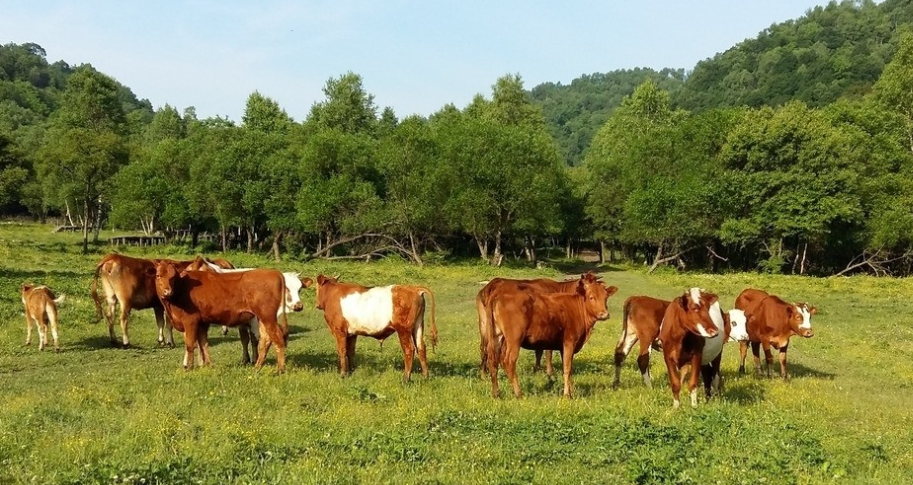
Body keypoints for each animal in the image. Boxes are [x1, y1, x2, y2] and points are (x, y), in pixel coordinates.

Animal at [151, 260, 288, 370]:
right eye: (158, 275)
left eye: (173, 277)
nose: (167, 292)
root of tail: (275, 272)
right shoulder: (202, 323)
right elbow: (203, 344)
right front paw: (208, 365)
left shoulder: (190, 321)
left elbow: (190, 344)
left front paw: (189, 368)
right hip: (262, 318)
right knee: (265, 339)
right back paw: (258, 366)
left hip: (267, 316)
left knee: (277, 337)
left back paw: (280, 369)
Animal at [310, 274, 438, 380]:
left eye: (316, 287)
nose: (317, 304)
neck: (332, 295)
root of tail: (414, 289)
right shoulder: (352, 334)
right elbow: (351, 351)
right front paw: (351, 372)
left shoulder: (339, 331)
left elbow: (342, 351)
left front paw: (343, 374)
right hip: (418, 326)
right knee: (421, 348)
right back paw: (425, 376)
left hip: (403, 329)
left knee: (409, 349)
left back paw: (406, 378)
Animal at [480, 272, 616, 398]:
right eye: (591, 297)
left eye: (606, 297)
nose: (604, 314)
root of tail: (497, 292)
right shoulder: (569, 342)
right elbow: (566, 368)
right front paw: (567, 394)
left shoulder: (563, 347)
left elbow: (569, 368)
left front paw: (572, 391)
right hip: (514, 340)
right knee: (508, 361)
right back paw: (519, 393)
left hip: (496, 336)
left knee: (492, 359)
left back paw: (496, 393)